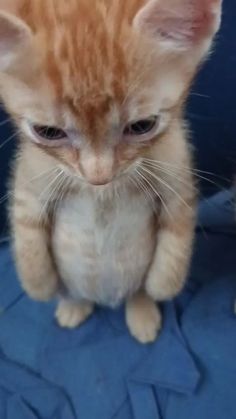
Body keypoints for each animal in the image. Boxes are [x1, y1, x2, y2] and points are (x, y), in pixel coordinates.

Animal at [0, 0, 221, 344]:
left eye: (142, 126)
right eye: (48, 132)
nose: (98, 176)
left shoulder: (177, 176)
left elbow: (176, 244)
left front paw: (163, 286)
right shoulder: (30, 183)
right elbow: (27, 237)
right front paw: (39, 286)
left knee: (137, 290)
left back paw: (141, 311)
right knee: (75, 291)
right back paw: (74, 305)